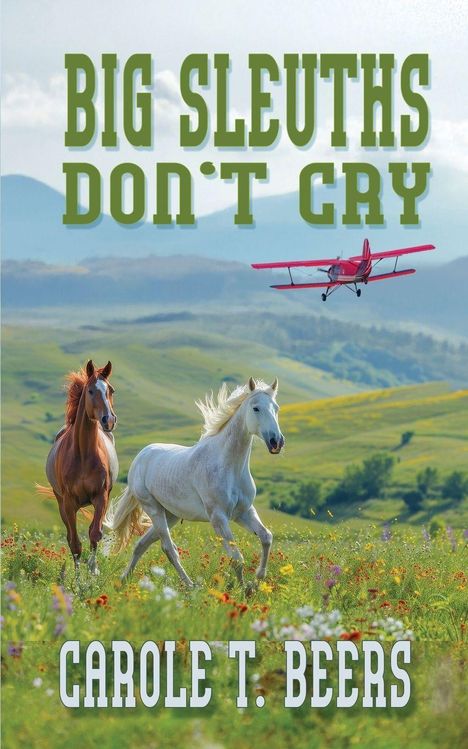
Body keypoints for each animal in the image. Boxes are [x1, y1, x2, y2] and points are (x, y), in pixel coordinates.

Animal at [40, 360, 118, 576]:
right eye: (90, 391)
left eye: (111, 390)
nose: (108, 420)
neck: (83, 454)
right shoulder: (68, 502)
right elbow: (75, 543)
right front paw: (77, 578)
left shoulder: (101, 496)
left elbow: (95, 533)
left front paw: (93, 571)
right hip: (61, 504)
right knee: (70, 536)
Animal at [105, 377, 284, 589]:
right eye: (256, 408)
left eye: (276, 408)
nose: (276, 442)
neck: (229, 466)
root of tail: (141, 456)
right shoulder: (218, 517)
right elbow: (237, 558)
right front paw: (243, 590)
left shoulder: (244, 512)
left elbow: (266, 537)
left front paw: (257, 580)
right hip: (153, 509)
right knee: (168, 548)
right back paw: (190, 586)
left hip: (171, 514)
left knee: (142, 544)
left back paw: (124, 579)